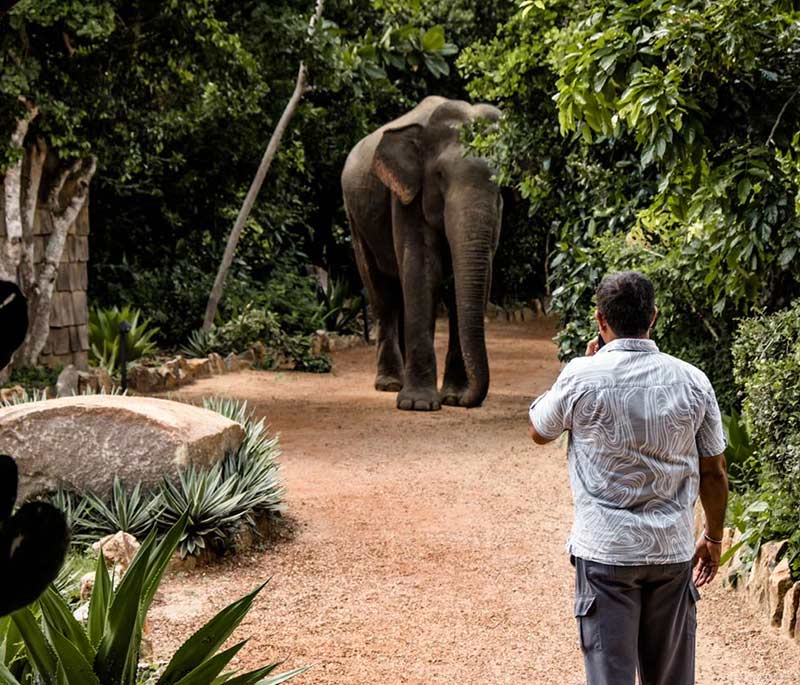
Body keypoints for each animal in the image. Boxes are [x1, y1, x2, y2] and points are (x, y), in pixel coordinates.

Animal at [340, 96, 500, 412]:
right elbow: (421, 268)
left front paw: (452, 398)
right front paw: (418, 404)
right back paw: (390, 384)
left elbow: (477, 275)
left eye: (501, 180)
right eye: (439, 175)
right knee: (381, 291)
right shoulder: (405, 196)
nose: (469, 401)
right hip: (354, 218)